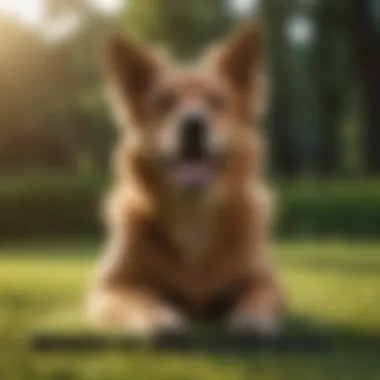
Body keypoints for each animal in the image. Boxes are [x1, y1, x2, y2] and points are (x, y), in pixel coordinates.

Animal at [87, 23, 284, 336]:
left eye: (217, 101)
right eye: (164, 102)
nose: (193, 124)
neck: (193, 214)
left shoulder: (266, 278)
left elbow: (260, 292)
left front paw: (252, 318)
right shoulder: (109, 286)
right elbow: (138, 297)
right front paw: (158, 317)